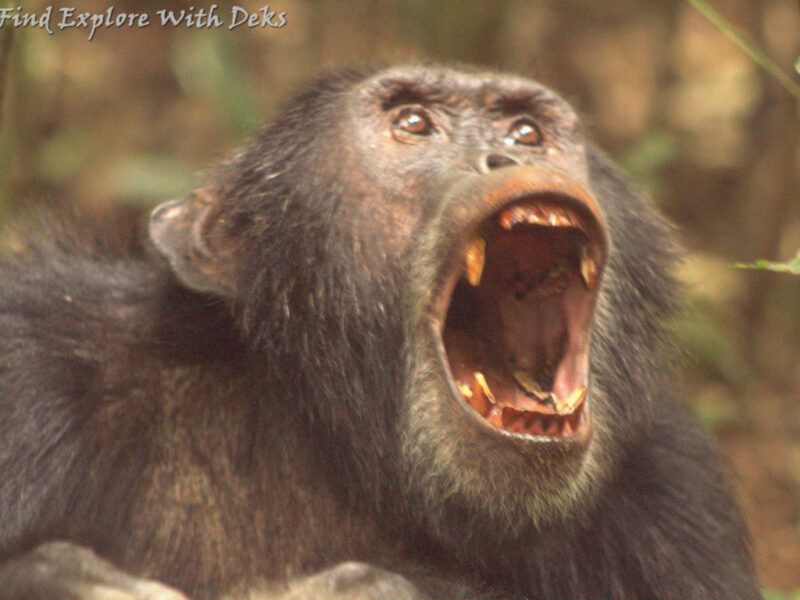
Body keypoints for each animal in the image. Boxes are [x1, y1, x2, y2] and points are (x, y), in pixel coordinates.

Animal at [0, 64, 761, 599]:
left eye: (525, 132)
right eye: (415, 123)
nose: (508, 158)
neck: (335, 445)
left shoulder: (673, 504)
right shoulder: (33, 367)